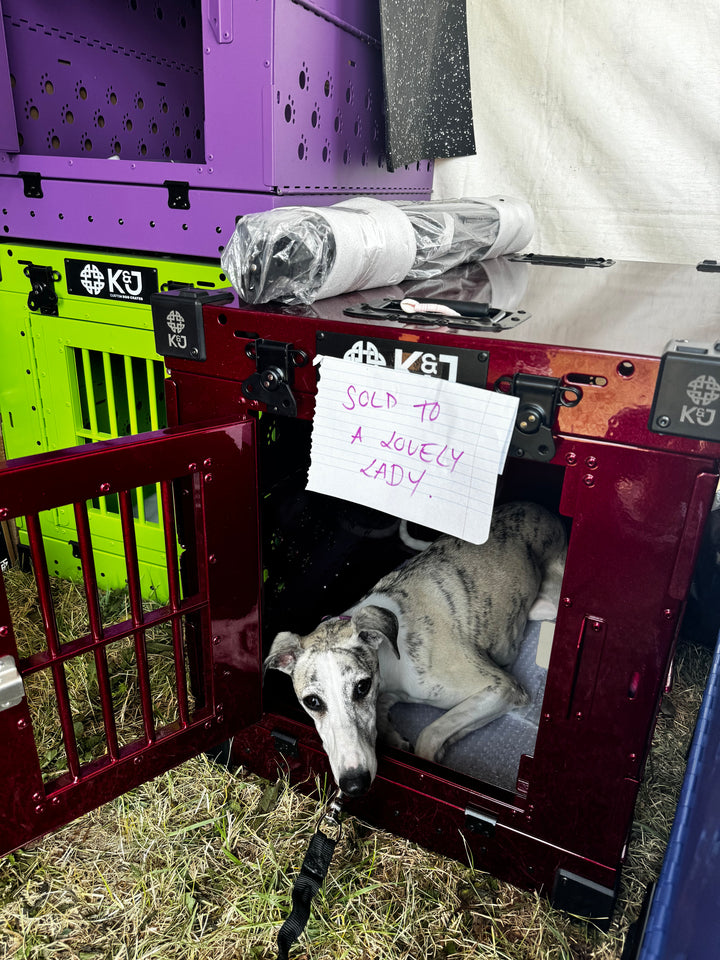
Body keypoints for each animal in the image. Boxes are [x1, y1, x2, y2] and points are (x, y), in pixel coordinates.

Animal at [264, 498, 568, 800]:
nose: (354, 785)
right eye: (312, 702)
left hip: (548, 603)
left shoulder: (503, 687)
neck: (391, 653)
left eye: (362, 687)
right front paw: (395, 736)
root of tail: (535, 506)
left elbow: (429, 736)